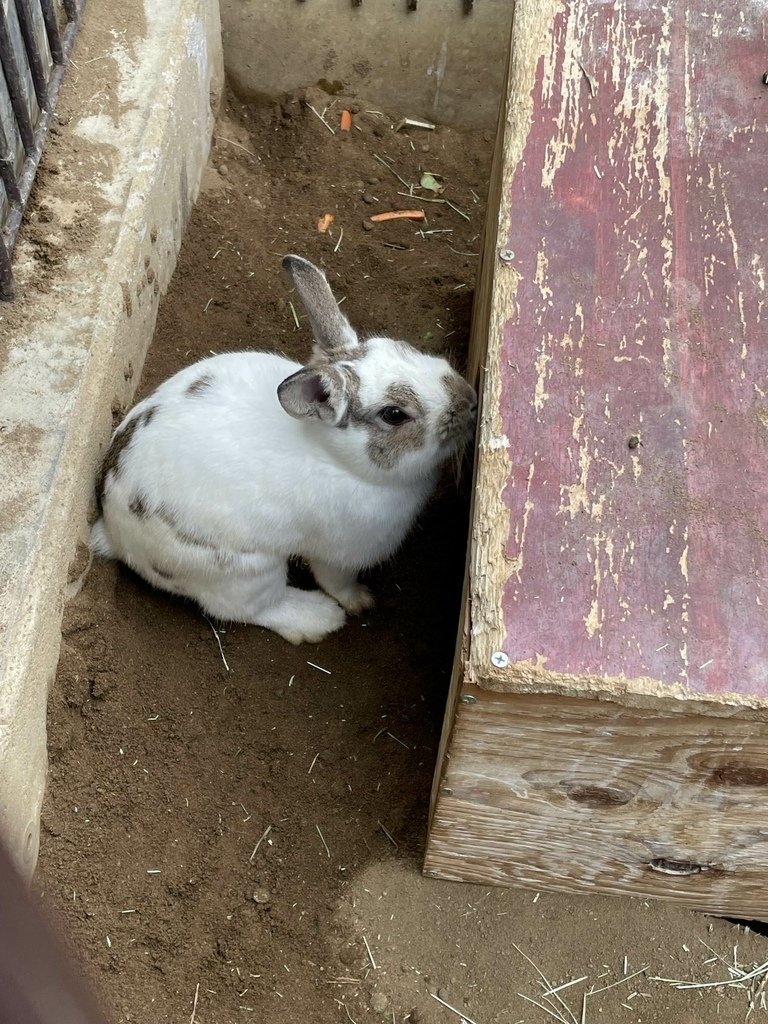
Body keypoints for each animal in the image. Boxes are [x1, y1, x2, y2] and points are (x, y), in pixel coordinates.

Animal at [88, 253, 475, 638]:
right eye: (394, 415)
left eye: (404, 348)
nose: (470, 401)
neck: (337, 458)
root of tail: (114, 532)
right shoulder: (341, 552)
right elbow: (336, 581)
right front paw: (360, 602)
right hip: (244, 571)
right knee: (246, 609)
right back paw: (319, 618)